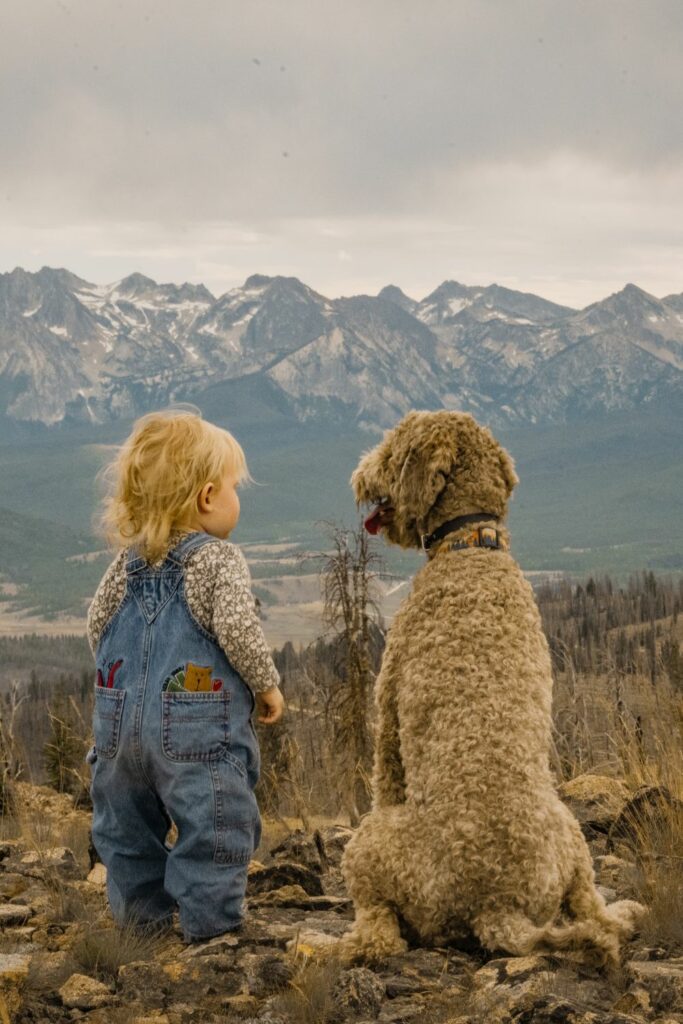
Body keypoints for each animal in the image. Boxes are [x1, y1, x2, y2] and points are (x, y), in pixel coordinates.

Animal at [333, 409, 643, 966]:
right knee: (591, 907)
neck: (472, 544)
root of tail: (499, 905)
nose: (359, 475)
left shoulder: (388, 709)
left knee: (383, 932)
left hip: (372, 847)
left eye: (391, 450)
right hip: (572, 837)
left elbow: (385, 771)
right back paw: (623, 912)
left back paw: (342, 943)